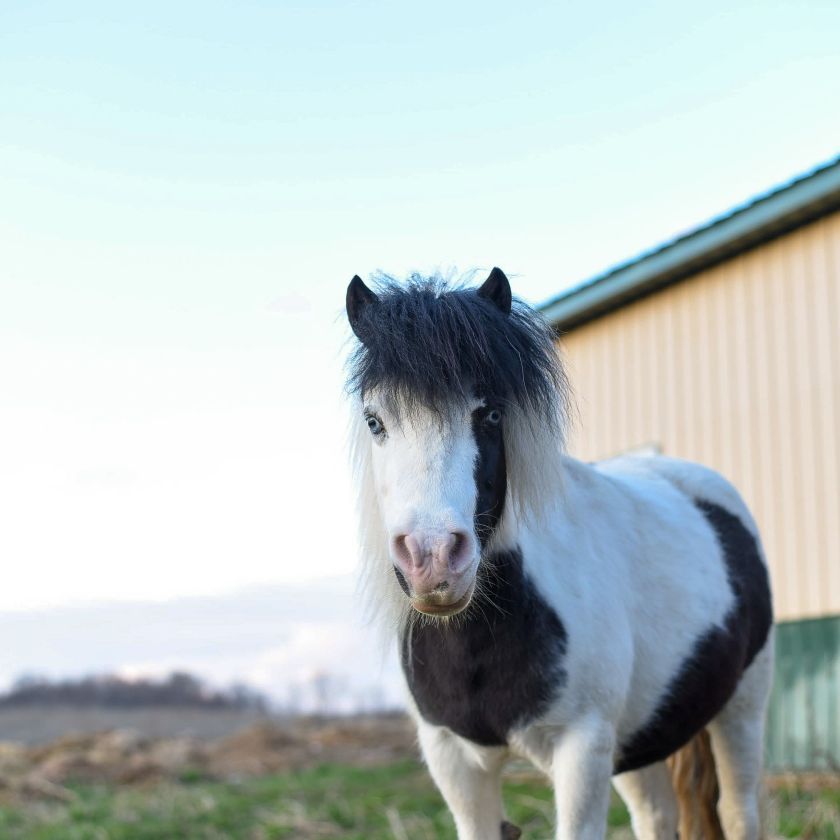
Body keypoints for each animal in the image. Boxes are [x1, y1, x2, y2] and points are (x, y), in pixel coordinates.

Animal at [343, 268, 773, 840]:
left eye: (491, 413)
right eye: (375, 421)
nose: (432, 560)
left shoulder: (581, 750)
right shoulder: (453, 760)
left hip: (742, 707)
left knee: (739, 810)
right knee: (657, 815)